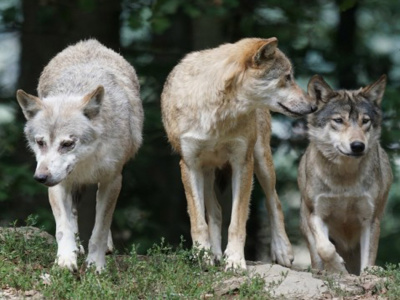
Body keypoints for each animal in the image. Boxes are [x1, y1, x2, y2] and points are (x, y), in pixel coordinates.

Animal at [16, 39, 144, 272]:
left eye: (67, 144)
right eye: (41, 142)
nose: (40, 178)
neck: (86, 162)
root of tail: (89, 42)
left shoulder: (113, 180)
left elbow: (100, 229)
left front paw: (96, 265)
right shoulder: (58, 184)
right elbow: (63, 227)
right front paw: (65, 260)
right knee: (73, 214)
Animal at [161, 37, 318, 270]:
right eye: (287, 77)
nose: (313, 106)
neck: (218, 113)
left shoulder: (243, 163)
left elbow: (237, 221)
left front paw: (235, 260)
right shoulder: (189, 165)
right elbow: (198, 221)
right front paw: (202, 256)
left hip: (262, 161)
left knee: (274, 201)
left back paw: (282, 251)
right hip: (207, 171)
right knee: (216, 210)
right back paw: (215, 254)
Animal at [298, 74, 392, 274]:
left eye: (365, 121)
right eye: (339, 120)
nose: (358, 146)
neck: (344, 179)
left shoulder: (370, 219)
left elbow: (368, 260)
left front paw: (367, 273)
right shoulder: (316, 214)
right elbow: (325, 248)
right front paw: (337, 268)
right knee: (317, 257)